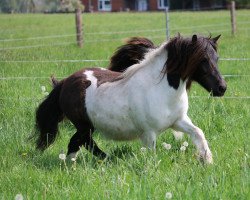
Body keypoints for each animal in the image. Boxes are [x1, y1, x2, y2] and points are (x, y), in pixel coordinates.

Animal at [34, 34, 227, 163]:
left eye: (216, 58)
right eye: (202, 59)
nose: (222, 88)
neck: (162, 90)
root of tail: (65, 82)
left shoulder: (178, 121)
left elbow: (198, 133)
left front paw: (207, 160)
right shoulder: (149, 133)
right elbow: (151, 155)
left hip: (86, 127)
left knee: (77, 144)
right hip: (84, 125)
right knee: (81, 143)